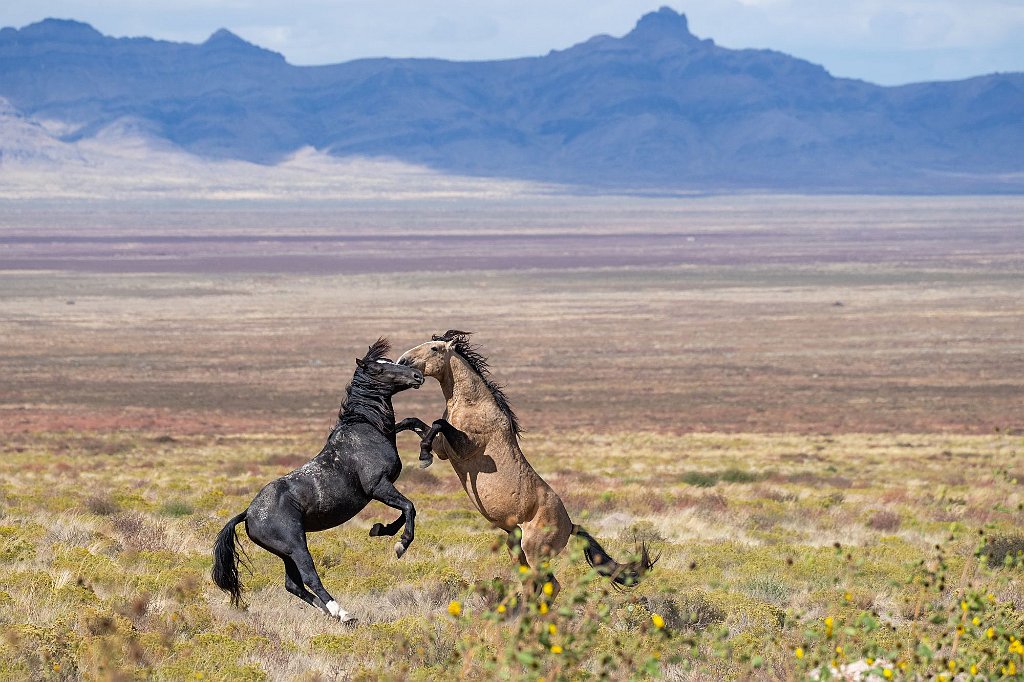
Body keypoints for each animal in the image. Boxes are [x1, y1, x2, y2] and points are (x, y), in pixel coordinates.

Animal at [211, 337, 428, 618]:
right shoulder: (378, 487)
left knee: (293, 584)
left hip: (284, 553)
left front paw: (380, 529)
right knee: (309, 577)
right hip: (295, 546)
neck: (367, 430)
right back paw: (343, 613)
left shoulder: (385, 483)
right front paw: (401, 544)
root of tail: (248, 513)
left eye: (390, 361)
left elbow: (411, 423)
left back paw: (329, 613)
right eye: (379, 369)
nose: (417, 375)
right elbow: (409, 507)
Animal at [395, 329, 651, 593]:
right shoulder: (444, 449)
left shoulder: (467, 447)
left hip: (534, 552)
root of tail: (570, 525)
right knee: (535, 584)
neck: (472, 404)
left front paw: (423, 457)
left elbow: (437, 424)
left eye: (434, 348)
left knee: (548, 584)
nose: (403, 361)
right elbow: (413, 421)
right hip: (515, 547)